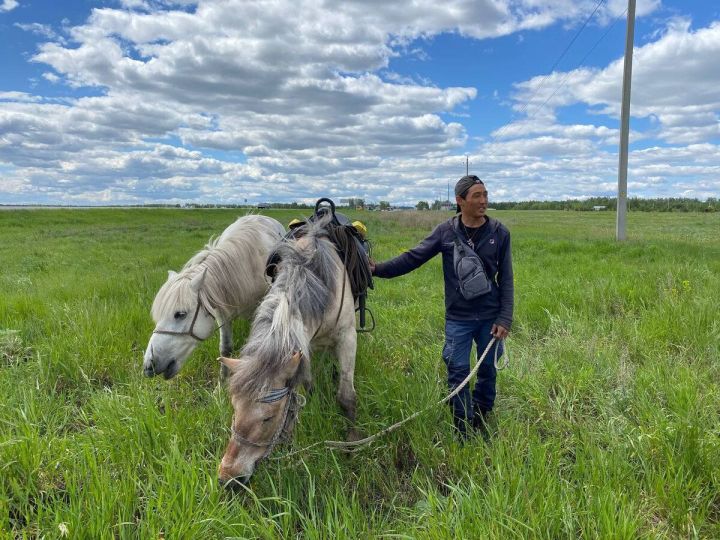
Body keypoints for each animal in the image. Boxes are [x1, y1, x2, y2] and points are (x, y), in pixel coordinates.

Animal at [142, 214, 286, 380]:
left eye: (180, 314)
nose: (149, 365)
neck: (247, 267)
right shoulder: (222, 310)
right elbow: (225, 348)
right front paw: (222, 380)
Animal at [215, 217, 358, 488]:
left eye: (268, 418)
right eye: (234, 408)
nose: (229, 479)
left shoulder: (347, 337)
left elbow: (346, 397)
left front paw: (351, 444)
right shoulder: (304, 347)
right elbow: (307, 385)